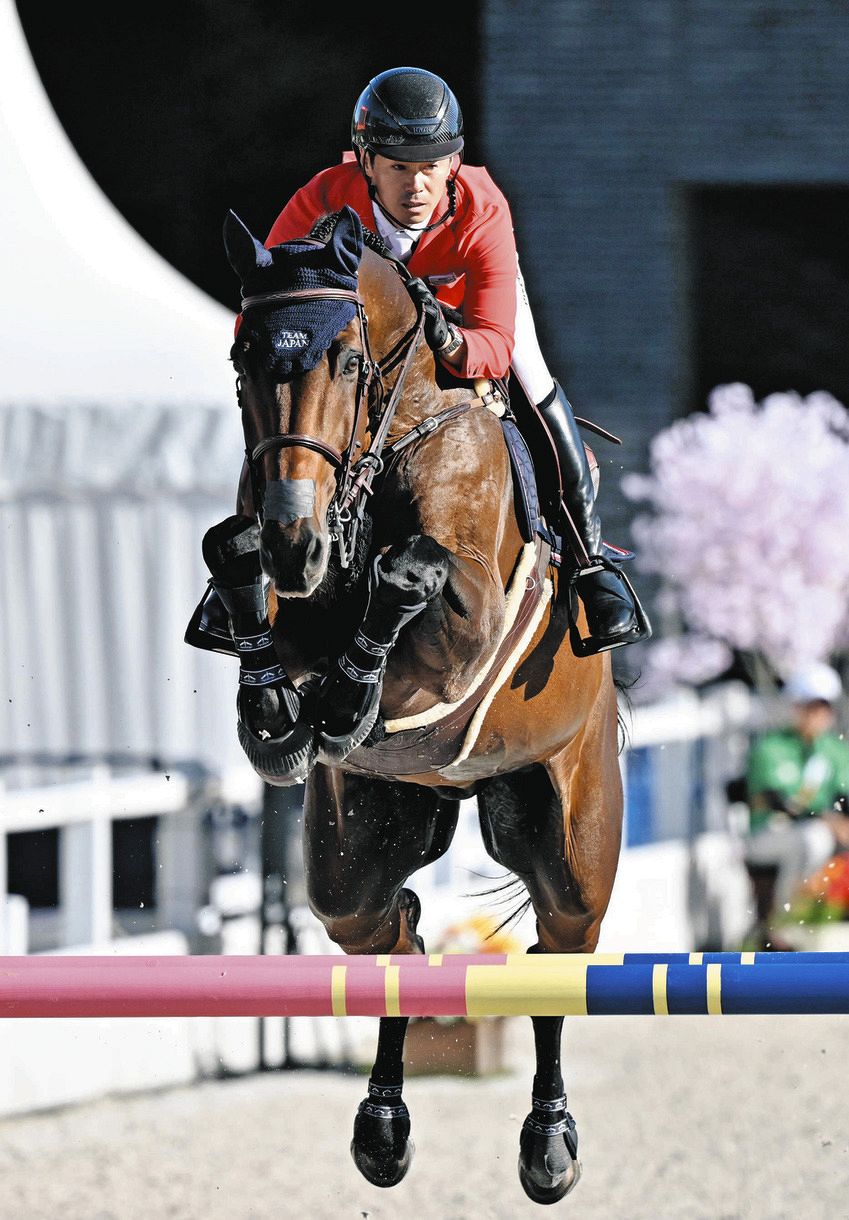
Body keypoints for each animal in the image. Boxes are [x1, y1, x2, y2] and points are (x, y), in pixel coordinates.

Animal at [218, 204, 624, 1204]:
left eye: (346, 361)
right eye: (243, 356)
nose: (296, 541)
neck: (387, 437)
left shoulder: (467, 624)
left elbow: (411, 574)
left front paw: (346, 698)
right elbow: (228, 551)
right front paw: (277, 720)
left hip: (569, 830)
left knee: (555, 950)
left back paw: (547, 1148)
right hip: (360, 845)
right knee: (387, 932)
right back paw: (382, 1131)